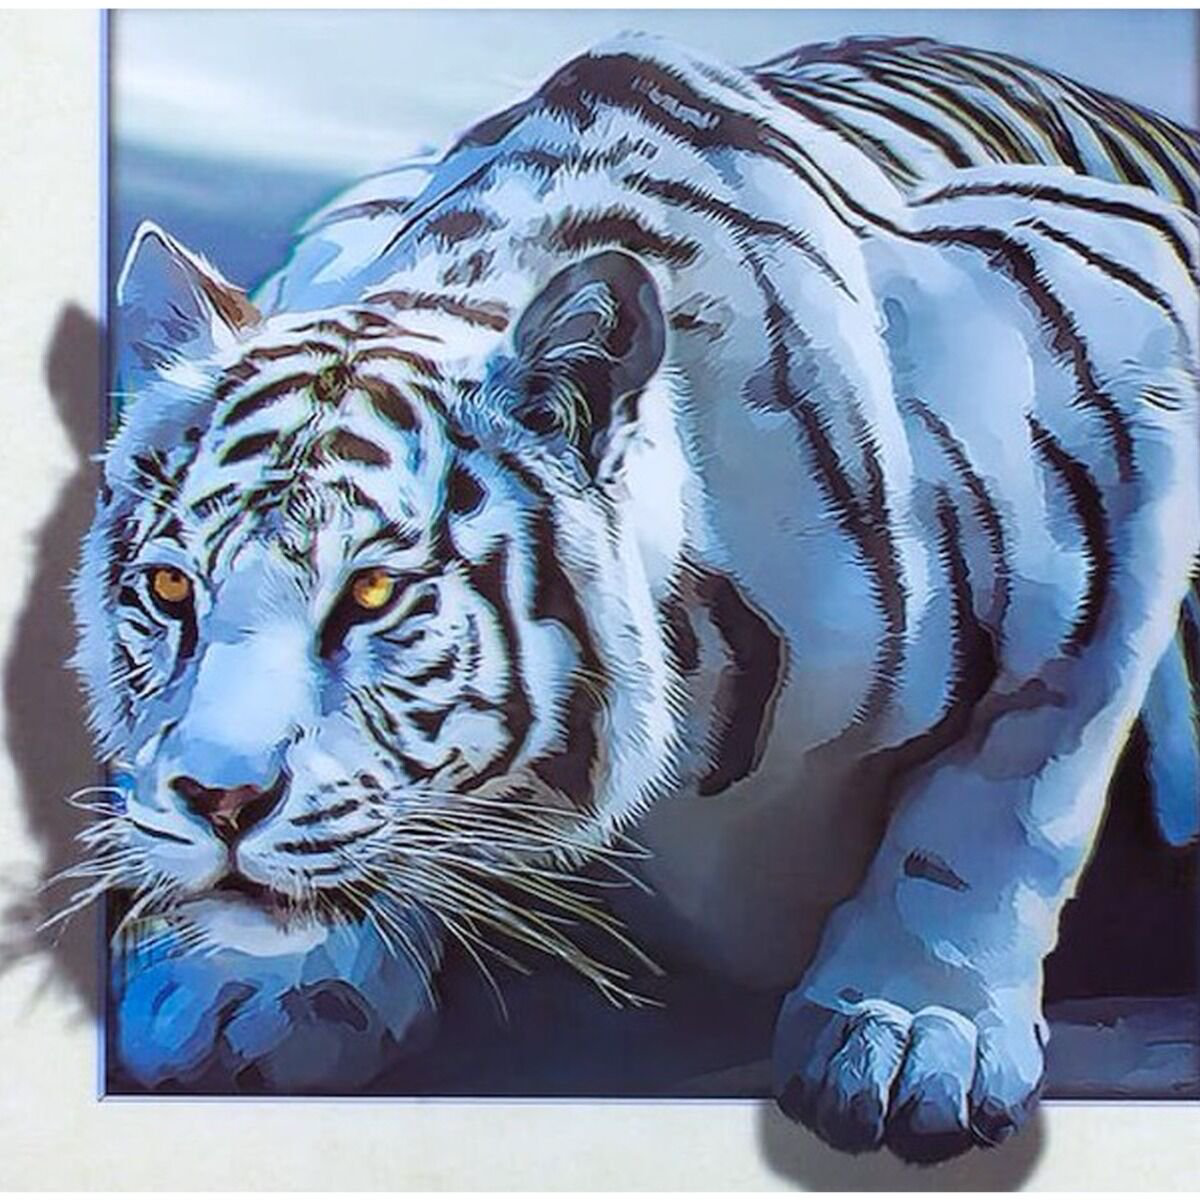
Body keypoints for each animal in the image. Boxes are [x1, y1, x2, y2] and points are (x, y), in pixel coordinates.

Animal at [71, 33, 1199, 1161]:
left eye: (374, 593)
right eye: (170, 589)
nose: (217, 802)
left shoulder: (1117, 354)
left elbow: (1008, 787)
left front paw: (912, 1026)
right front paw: (249, 975)